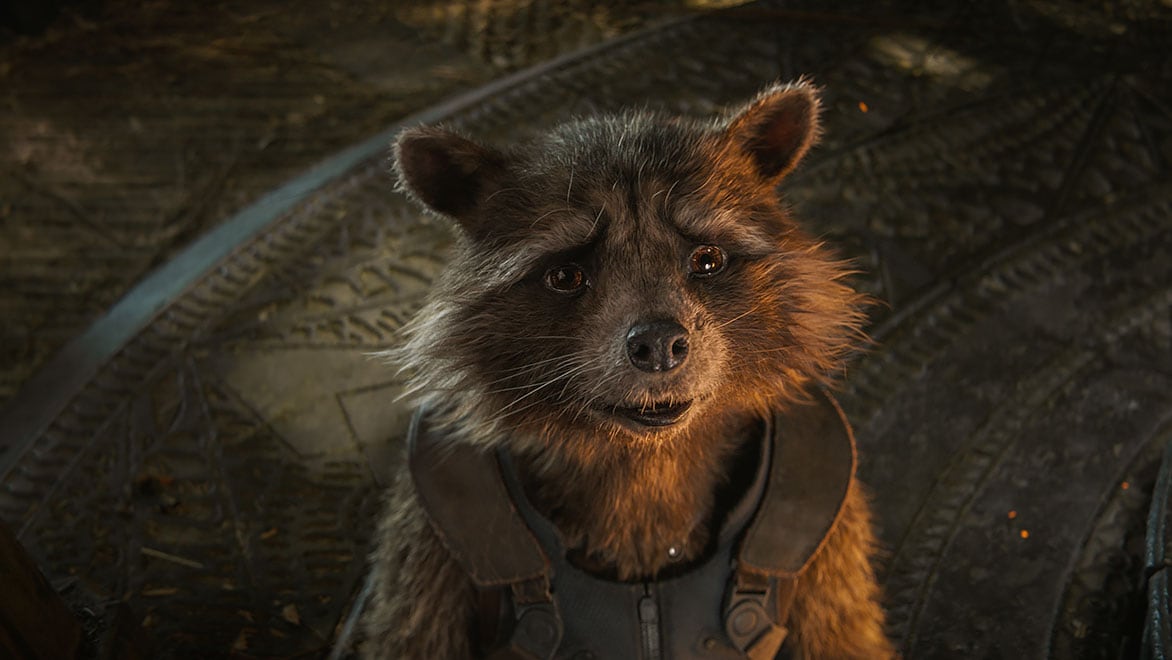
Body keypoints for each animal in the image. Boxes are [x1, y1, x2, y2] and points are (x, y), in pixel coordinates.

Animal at [362, 81, 894, 659]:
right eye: (566, 275)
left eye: (707, 259)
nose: (659, 345)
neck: (646, 459)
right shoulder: (431, 533)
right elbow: (410, 635)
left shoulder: (830, 523)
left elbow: (843, 635)